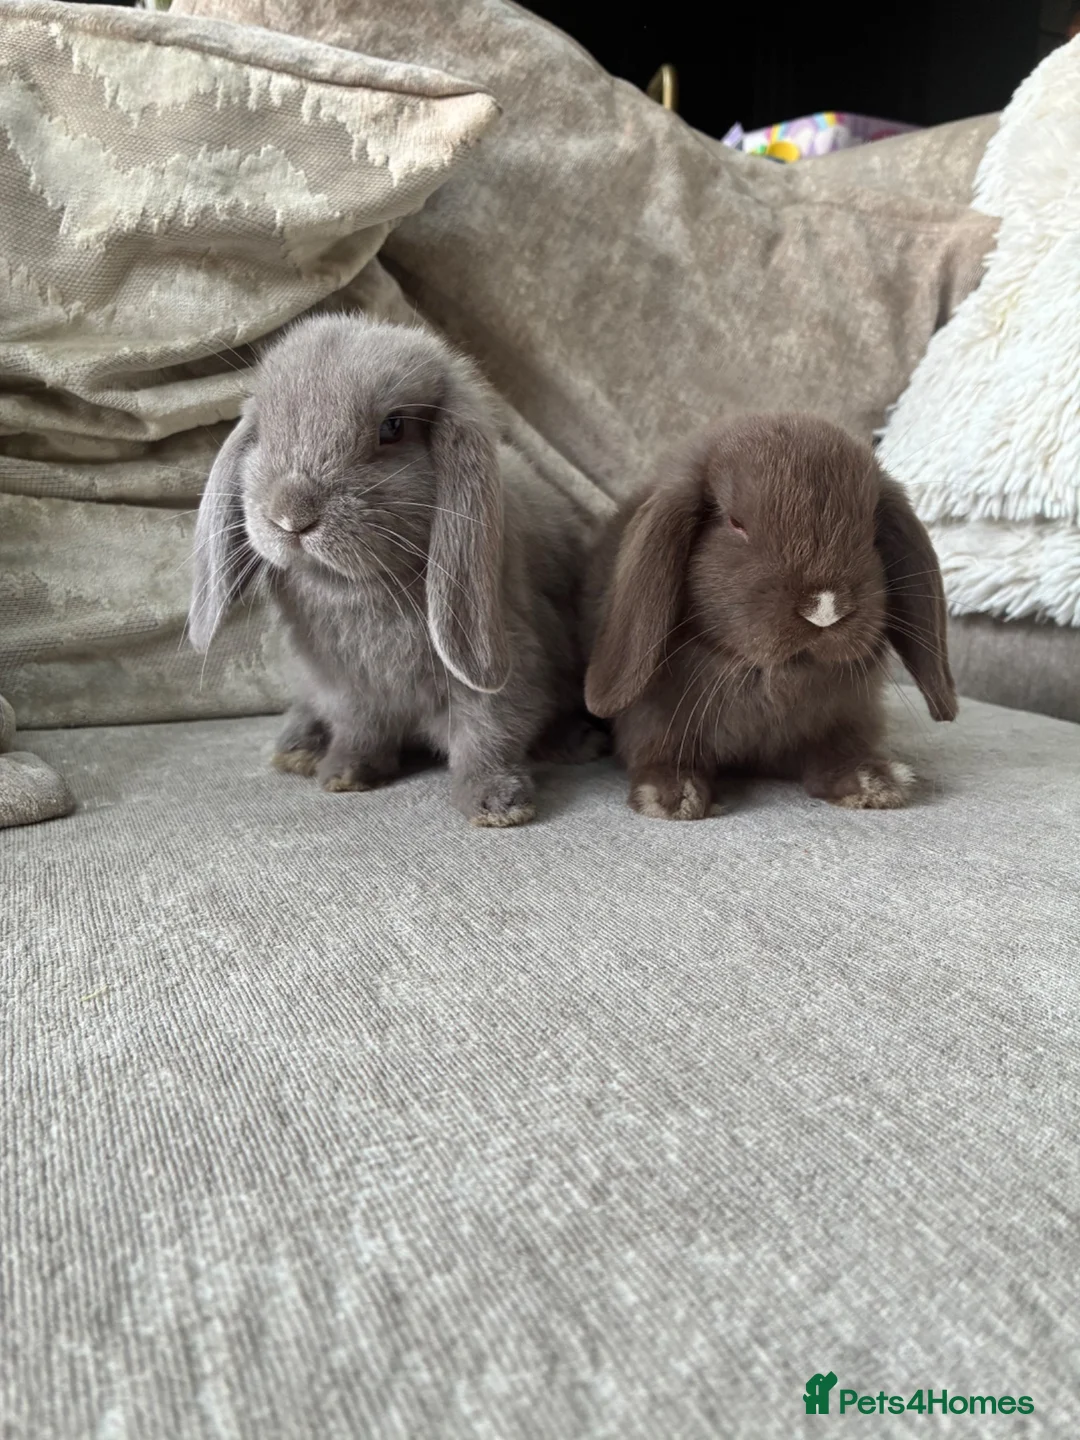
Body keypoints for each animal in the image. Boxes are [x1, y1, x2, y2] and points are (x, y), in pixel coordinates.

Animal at [188, 314, 601, 827]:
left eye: (393, 427)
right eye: (264, 430)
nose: (291, 514)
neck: (357, 587)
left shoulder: (503, 665)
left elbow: (488, 735)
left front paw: (497, 805)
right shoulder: (345, 686)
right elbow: (359, 731)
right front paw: (344, 774)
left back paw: (577, 742)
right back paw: (298, 749)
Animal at [584, 413, 957, 820]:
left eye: (871, 527)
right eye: (736, 523)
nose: (824, 608)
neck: (771, 673)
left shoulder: (849, 715)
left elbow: (835, 754)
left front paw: (872, 782)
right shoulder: (651, 715)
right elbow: (659, 751)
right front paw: (672, 797)